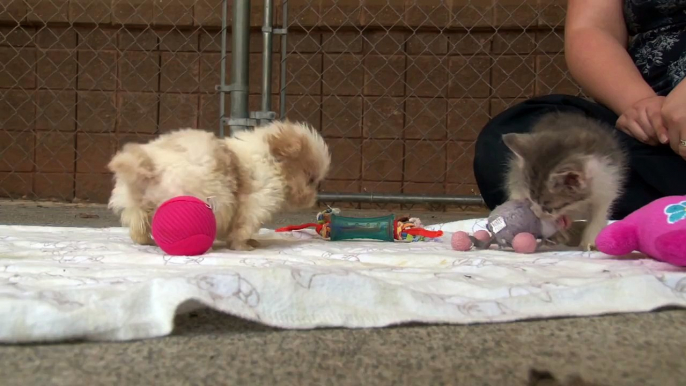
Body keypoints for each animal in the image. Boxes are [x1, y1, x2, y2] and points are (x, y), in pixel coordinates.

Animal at [109, 119, 332, 250]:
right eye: (311, 179)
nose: (312, 200)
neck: (270, 158)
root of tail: (152, 166)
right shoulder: (256, 203)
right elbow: (243, 228)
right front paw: (244, 245)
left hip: (134, 202)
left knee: (137, 226)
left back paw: (145, 240)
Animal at [506, 111, 628, 250]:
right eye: (530, 200)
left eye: (548, 208)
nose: (536, 215)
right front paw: (557, 234)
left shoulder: (607, 185)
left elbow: (599, 214)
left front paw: (590, 241)